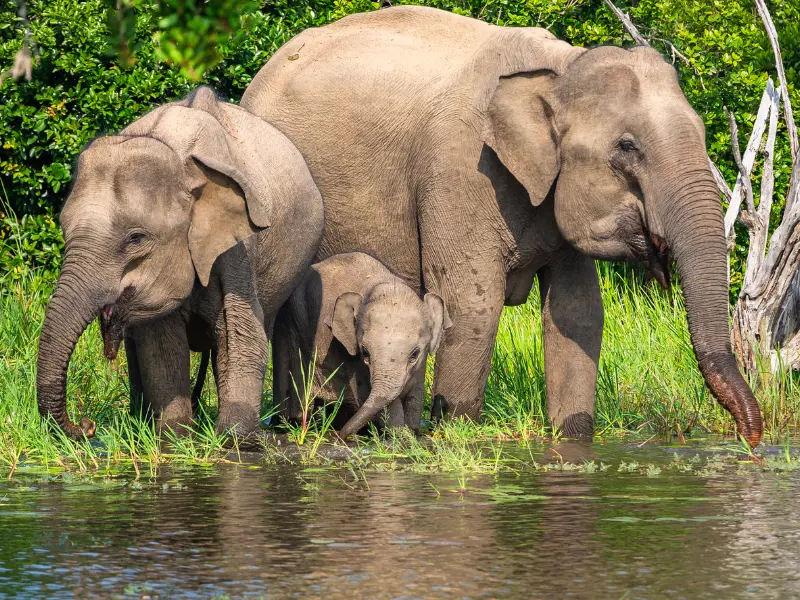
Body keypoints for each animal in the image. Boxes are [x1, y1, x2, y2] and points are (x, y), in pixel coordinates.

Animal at [36, 86, 324, 438]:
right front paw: (175, 436)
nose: (87, 426)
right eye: (64, 230)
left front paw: (235, 440)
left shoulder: (239, 245)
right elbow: (161, 345)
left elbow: (240, 334)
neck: (181, 160)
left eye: (136, 238)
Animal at [274, 251, 450, 438]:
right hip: (291, 322)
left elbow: (415, 395)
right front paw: (400, 435)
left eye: (415, 354)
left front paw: (411, 433)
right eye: (365, 353)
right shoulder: (351, 356)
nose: (341, 436)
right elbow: (374, 396)